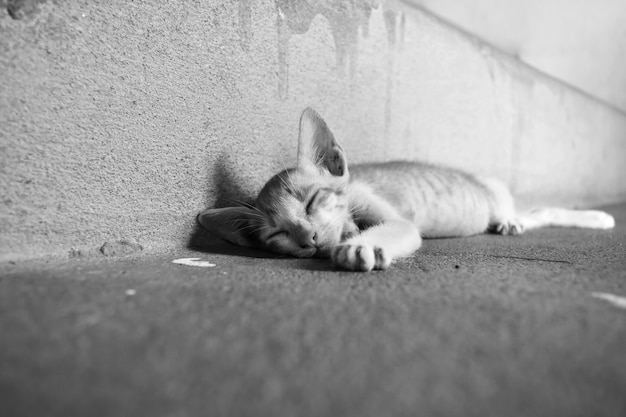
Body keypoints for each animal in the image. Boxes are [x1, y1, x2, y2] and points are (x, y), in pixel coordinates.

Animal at [197, 108, 612, 270]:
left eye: (313, 200)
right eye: (278, 234)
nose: (309, 238)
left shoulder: (384, 211)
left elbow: (391, 229)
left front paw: (362, 245)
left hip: (496, 201)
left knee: (537, 212)